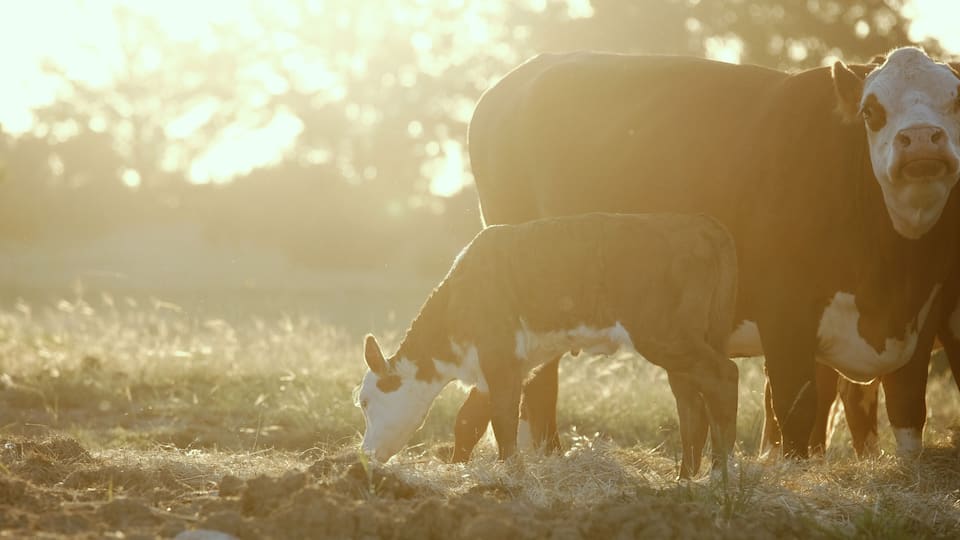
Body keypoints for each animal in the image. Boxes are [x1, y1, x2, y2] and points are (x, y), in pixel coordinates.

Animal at [356, 212, 740, 479]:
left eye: (365, 401)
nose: (364, 454)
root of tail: (700, 225)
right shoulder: (506, 366)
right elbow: (469, 421)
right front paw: (460, 469)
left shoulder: (499, 357)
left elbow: (503, 421)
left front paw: (512, 475)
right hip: (684, 344)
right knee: (691, 403)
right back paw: (686, 479)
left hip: (664, 334)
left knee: (724, 374)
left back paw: (719, 476)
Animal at [453, 47, 960, 460]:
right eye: (871, 111)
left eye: (956, 101)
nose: (920, 138)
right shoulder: (787, 314)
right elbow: (796, 414)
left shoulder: (926, 315)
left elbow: (908, 414)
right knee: (536, 385)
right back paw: (546, 458)